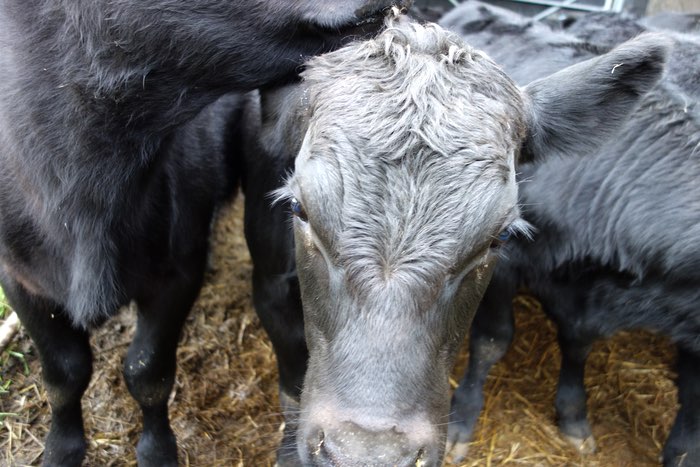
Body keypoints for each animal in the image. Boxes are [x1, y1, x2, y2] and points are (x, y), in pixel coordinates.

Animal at [0, 1, 410, 465]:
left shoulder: (179, 268)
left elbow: (147, 372)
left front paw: (157, 450)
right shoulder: (20, 280)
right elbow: (64, 375)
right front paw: (61, 448)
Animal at [442, 3, 700, 466]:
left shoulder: (584, 295)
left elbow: (578, 343)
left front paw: (574, 417)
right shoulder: (505, 265)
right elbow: (491, 341)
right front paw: (462, 423)